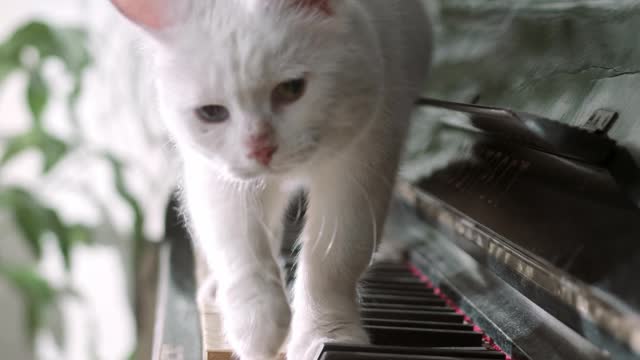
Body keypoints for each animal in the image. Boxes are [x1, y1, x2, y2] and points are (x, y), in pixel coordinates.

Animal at [110, 1, 432, 358]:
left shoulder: (363, 161)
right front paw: (256, 332)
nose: (261, 148)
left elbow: (333, 261)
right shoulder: (218, 177)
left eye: (291, 89)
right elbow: (241, 251)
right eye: (211, 113)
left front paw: (327, 335)